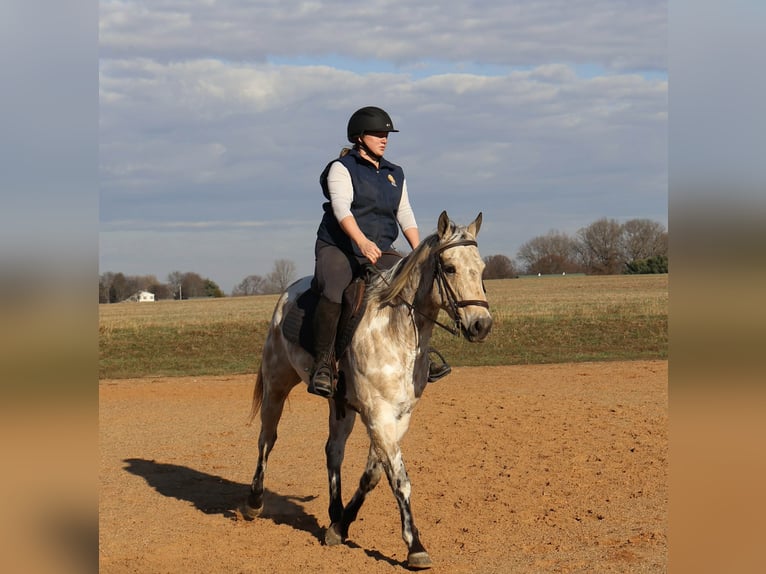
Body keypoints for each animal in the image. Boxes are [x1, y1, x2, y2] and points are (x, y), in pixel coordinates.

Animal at [243, 211, 493, 569]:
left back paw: (333, 513)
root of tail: (289, 292)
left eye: (482, 268)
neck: (396, 332)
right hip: (277, 384)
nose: (481, 325)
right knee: (267, 439)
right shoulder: (378, 415)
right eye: (449, 268)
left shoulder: (399, 416)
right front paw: (415, 545)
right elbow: (399, 480)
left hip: (340, 405)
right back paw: (254, 501)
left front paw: (340, 527)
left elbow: (374, 474)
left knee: (333, 450)